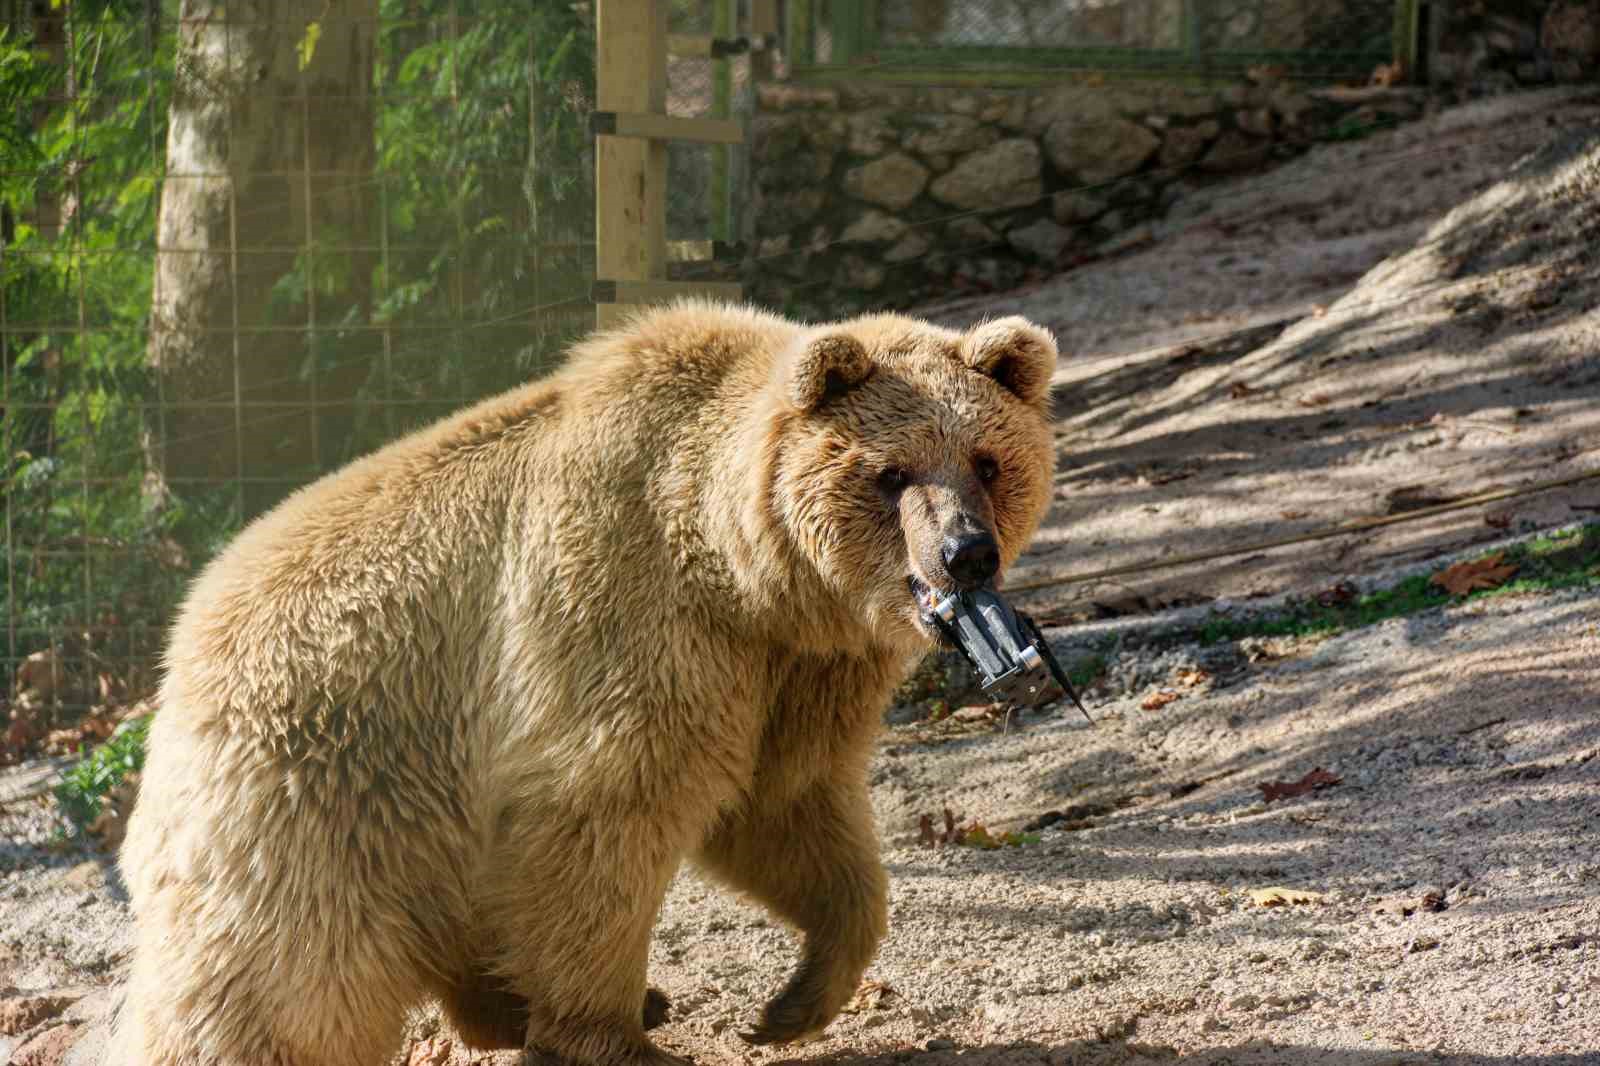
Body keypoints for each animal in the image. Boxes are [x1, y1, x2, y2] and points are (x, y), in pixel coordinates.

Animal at [112, 299, 1062, 1062]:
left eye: (986, 459)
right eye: (890, 472)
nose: (966, 554)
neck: (747, 570)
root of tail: (177, 649)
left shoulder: (793, 669)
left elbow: (788, 808)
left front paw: (793, 1003)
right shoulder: (628, 610)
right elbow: (604, 810)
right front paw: (611, 1034)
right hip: (321, 775)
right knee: (282, 975)